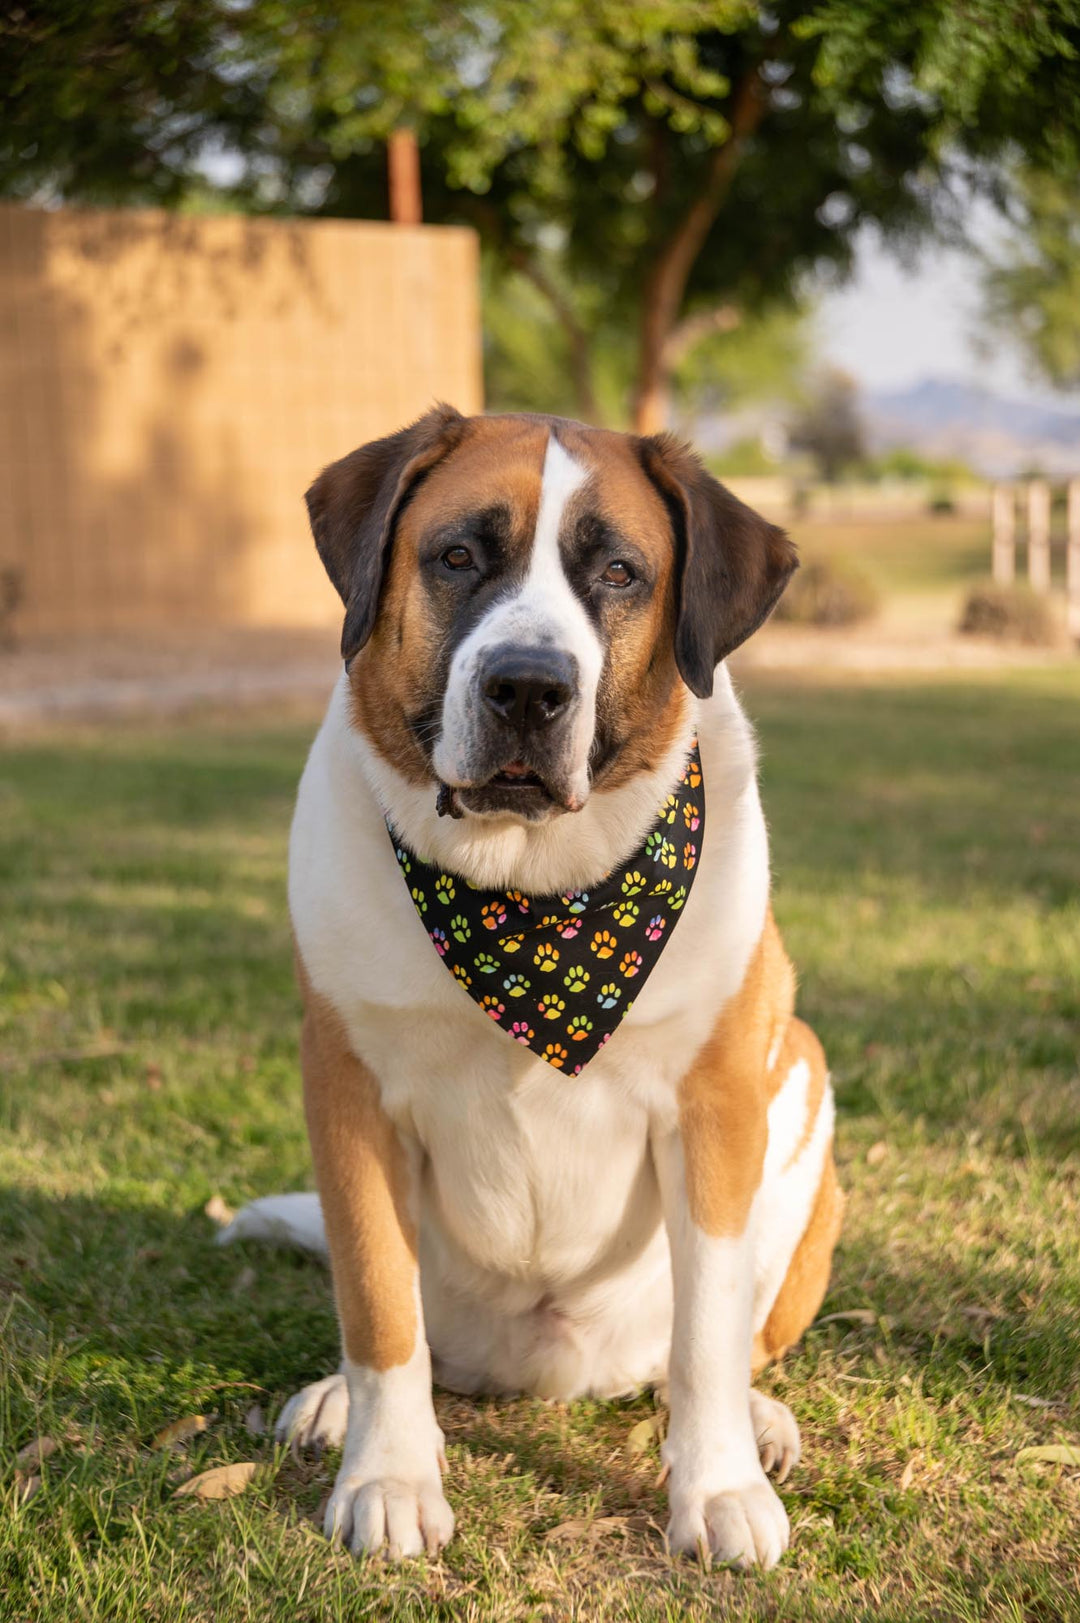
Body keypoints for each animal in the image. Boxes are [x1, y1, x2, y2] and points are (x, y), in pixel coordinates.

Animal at [219, 405, 844, 1571]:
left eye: (620, 572)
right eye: (460, 555)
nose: (527, 687)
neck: (534, 892)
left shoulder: (716, 1101)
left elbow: (708, 1327)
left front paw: (719, 1485)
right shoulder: (348, 1089)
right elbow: (377, 1300)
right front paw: (387, 1474)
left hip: (805, 1089)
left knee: (724, 1340)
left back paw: (758, 1421)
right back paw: (339, 1402)